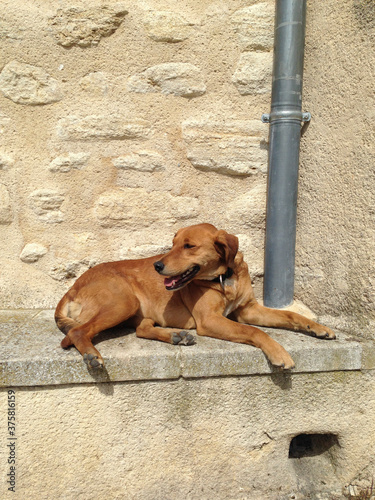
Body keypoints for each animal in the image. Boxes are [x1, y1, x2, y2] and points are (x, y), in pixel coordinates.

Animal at [55, 225, 334, 370]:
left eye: (189, 246)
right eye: (172, 244)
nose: (157, 265)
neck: (224, 278)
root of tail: (73, 286)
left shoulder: (248, 310)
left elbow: (290, 314)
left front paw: (318, 328)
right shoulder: (210, 320)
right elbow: (255, 331)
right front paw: (279, 353)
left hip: (136, 310)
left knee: (142, 329)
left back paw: (176, 336)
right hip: (123, 302)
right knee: (75, 333)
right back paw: (92, 356)